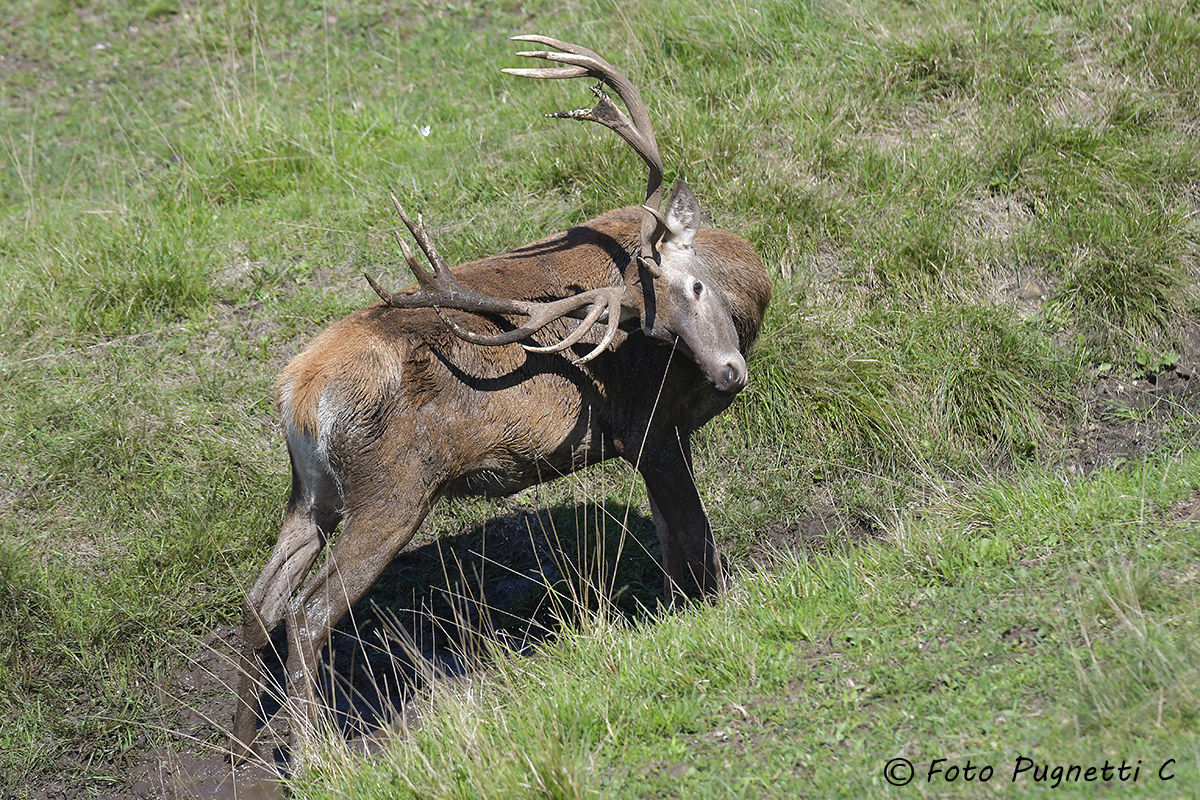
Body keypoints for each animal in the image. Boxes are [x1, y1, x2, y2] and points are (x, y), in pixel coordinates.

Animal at [231, 36, 771, 762]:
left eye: (694, 289)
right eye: (658, 333)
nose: (727, 374)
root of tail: (299, 393)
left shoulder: (656, 440)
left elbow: (667, 540)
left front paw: (674, 614)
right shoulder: (651, 429)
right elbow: (694, 537)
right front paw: (722, 612)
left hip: (311, 492)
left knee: (260, 603)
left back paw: (239, 750)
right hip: (390, 491)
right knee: (309, 611)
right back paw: (321, 756)